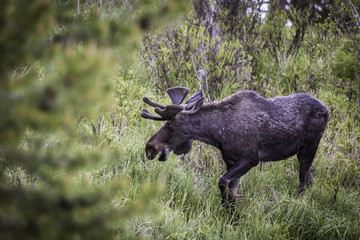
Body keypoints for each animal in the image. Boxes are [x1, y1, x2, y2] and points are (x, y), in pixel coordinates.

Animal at [141, 87, 330, 205]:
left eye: (170, 126)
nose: (149, 148)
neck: (217, 134)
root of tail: (327, 110)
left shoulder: (250, 159)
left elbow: (223, 182)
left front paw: (229, 210)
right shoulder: (230, 160)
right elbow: (232, 190)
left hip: (309, 146)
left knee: (303, 180)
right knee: (311, 172)